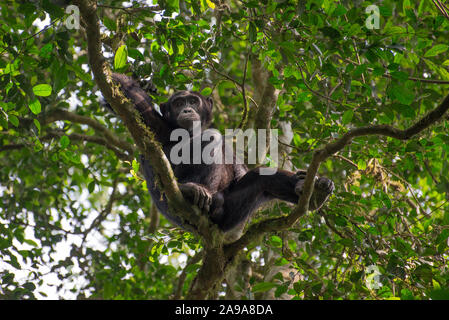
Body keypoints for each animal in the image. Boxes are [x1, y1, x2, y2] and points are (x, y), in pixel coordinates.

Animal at [108, 74, 332, 240]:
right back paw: (193, 190)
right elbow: (126, 97)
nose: (187, 109)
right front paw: (140, 82)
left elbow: (240, 174)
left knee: (260, 178)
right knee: (210, 139)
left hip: (230, 215)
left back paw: (314, 192)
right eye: (178, 103)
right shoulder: (152, 121)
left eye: (193, 101)